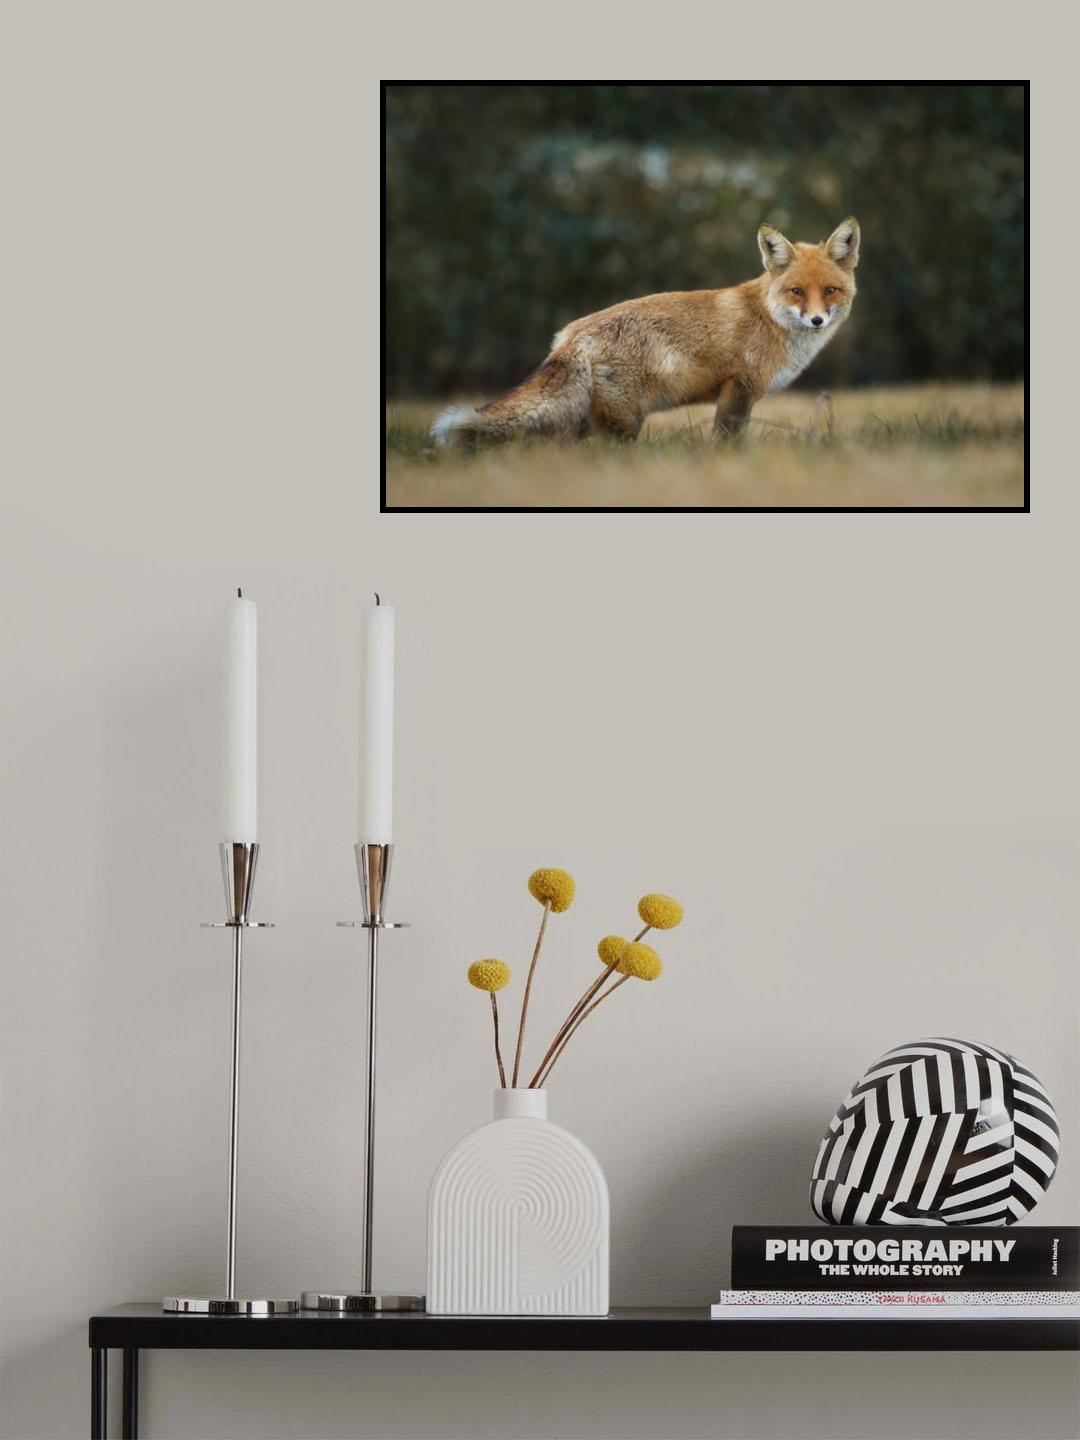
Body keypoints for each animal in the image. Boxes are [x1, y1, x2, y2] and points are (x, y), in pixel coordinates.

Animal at [431, 217, 860, 446]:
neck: (769, 319)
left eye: (830, 291)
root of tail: (570, 335)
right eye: (797, 291)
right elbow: (726, 441)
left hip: (585, 422)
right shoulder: (739, 388)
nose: (817, 320)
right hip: (624, 422)